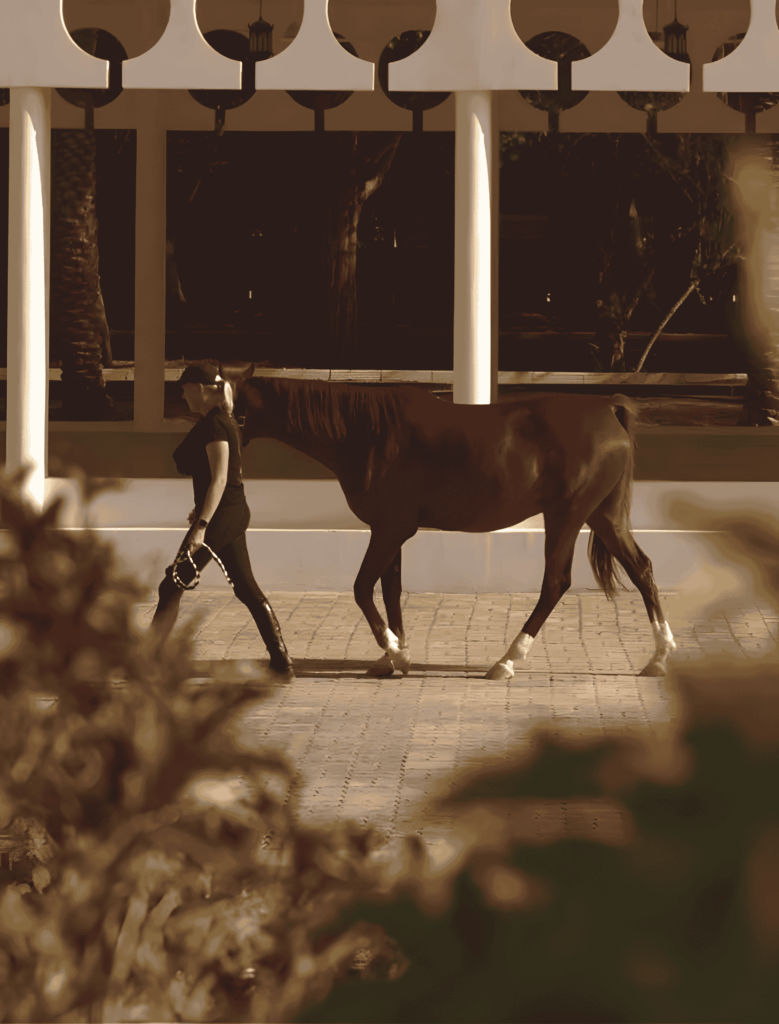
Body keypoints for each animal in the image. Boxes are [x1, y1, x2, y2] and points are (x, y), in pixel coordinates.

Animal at [226, 364, 676, 679]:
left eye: (233, 408)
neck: (368, 431)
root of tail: (607, 410)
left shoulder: (390, 529)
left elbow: (362, 588)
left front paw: (395, 650)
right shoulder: (391, 531)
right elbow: (390, 590)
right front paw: (394, 656)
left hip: (567, 515)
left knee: (555, 583)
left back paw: (507, 661)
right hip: (603, 516)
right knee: (642, 569)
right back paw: (658, 656)